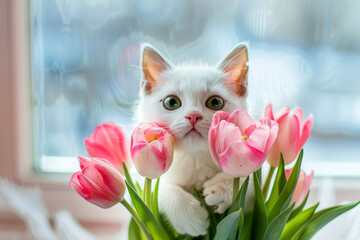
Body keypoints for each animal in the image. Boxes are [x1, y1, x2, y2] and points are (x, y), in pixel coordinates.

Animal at [136, 43, 252, 236]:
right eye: (171, 102)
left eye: (215, 102)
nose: (193, 116)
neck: (195, 156)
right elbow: (157, 189)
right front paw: (190, 218)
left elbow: (247, 181)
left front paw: (220, 188)